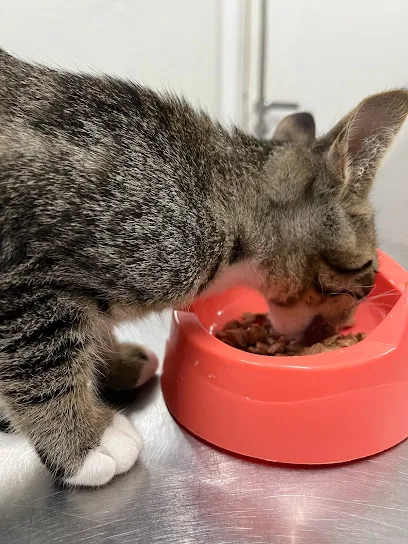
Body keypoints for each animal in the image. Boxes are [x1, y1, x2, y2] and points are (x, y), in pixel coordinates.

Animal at [0, 46, 406, 486]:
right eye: (367, 270)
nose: (344, 326)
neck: (216, 192)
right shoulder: (25, 279)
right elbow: (41, 356)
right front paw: (85, 442)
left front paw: (112, 363)